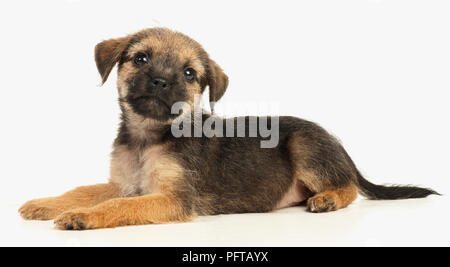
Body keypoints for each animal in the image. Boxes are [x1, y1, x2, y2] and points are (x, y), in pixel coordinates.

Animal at [19, 28, 438, 231]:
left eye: (190, 74)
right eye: (140, 59)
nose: (161, 82)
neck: (148, 137)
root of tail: (337, 143)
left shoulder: (173, 198)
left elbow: (120, 206)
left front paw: (83, 217)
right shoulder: (122, 182)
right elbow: (84, 190)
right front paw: (46, 203)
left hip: (305, 146)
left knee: (349, 185)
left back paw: (329, 198)